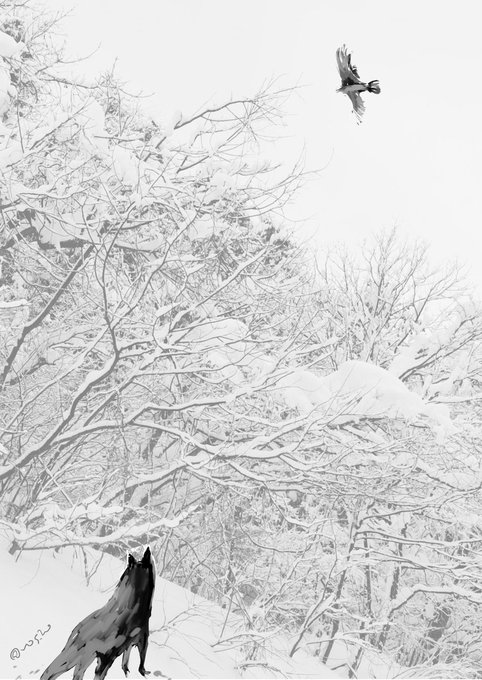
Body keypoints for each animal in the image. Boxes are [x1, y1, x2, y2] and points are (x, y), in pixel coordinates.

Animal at [41, 548, 156, 680]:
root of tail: (79, 627)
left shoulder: (127, 645)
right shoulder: (112, 653)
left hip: (84, 658)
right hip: (77, 655)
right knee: (50, 671)